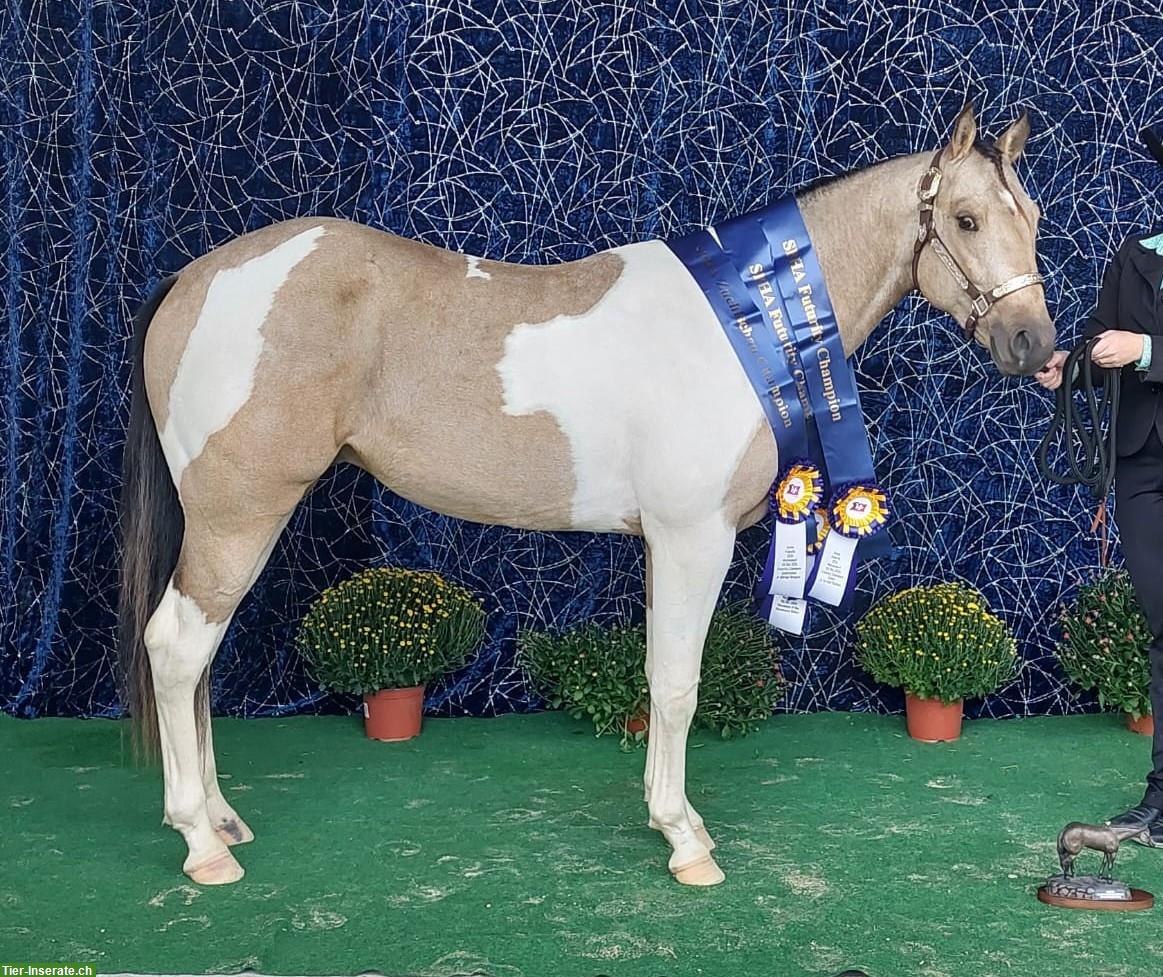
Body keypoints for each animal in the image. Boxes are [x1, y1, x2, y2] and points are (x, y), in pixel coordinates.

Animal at [119, 103, 1054, 888]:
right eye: (966, 220)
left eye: (1033, 218)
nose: (1035, 344)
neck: (751, 317)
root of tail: (194, 278)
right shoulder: (692, 535)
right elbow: (676, 682)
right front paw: (685, 842)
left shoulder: (662, 541)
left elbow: (657, 674)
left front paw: (671, 820)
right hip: (239, 514)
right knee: (177, 649)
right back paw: (201, 843)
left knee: (197, 663)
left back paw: (222, 819)